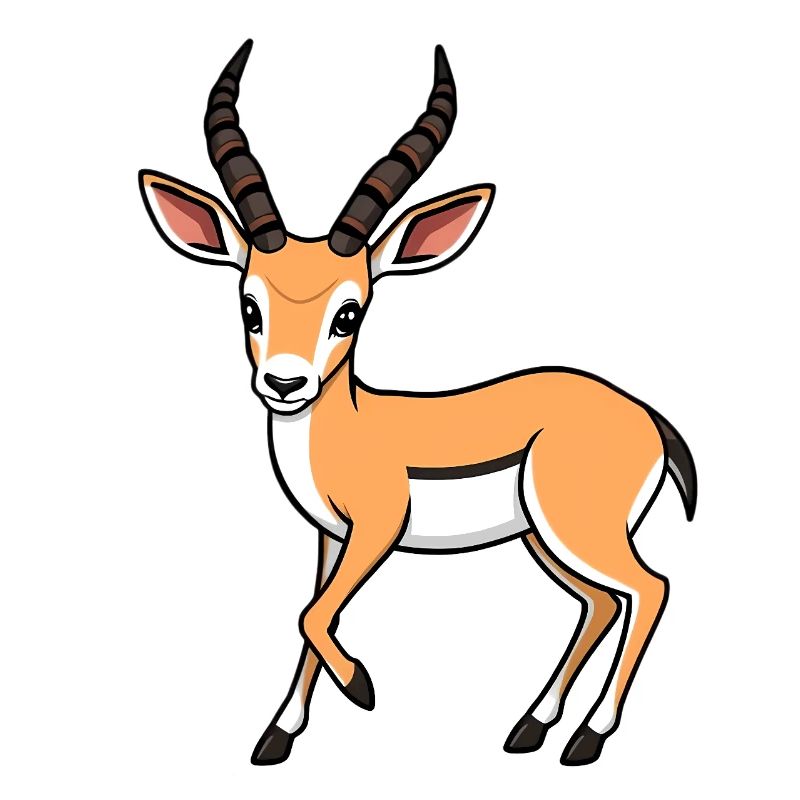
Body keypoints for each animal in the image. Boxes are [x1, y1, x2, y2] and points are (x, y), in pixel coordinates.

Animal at [139, 40, 697, 767]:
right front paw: (278, 735)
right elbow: (314, 612)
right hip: (545, 541)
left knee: (650, 589)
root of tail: (645, 415)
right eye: (249, 305)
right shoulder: (331, 537)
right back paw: (531, 727)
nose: (286, 384)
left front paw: (362, 688)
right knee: (601, 605)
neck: (347, 428)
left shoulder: (378, 528)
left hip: (578, 534)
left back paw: (587, 739)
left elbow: (312, 613)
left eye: (350, 312)